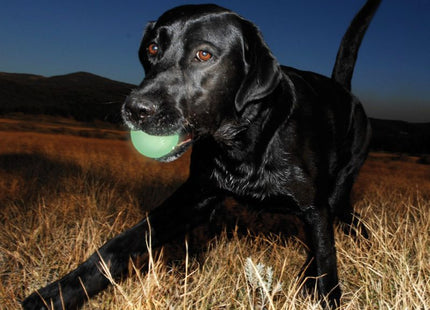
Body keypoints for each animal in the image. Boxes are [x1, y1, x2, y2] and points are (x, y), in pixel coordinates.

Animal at [22, 1, 380, 308]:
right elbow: (118, 246)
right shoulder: (195, 196)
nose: (135, 109)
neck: (240, 143)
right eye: (153, 49)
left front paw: (323, 293)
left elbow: (325, 260)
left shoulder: (314, 208)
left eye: (203, 54)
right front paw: (57, 293)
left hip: (340, 189)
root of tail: (344, 91)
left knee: (348, 222)